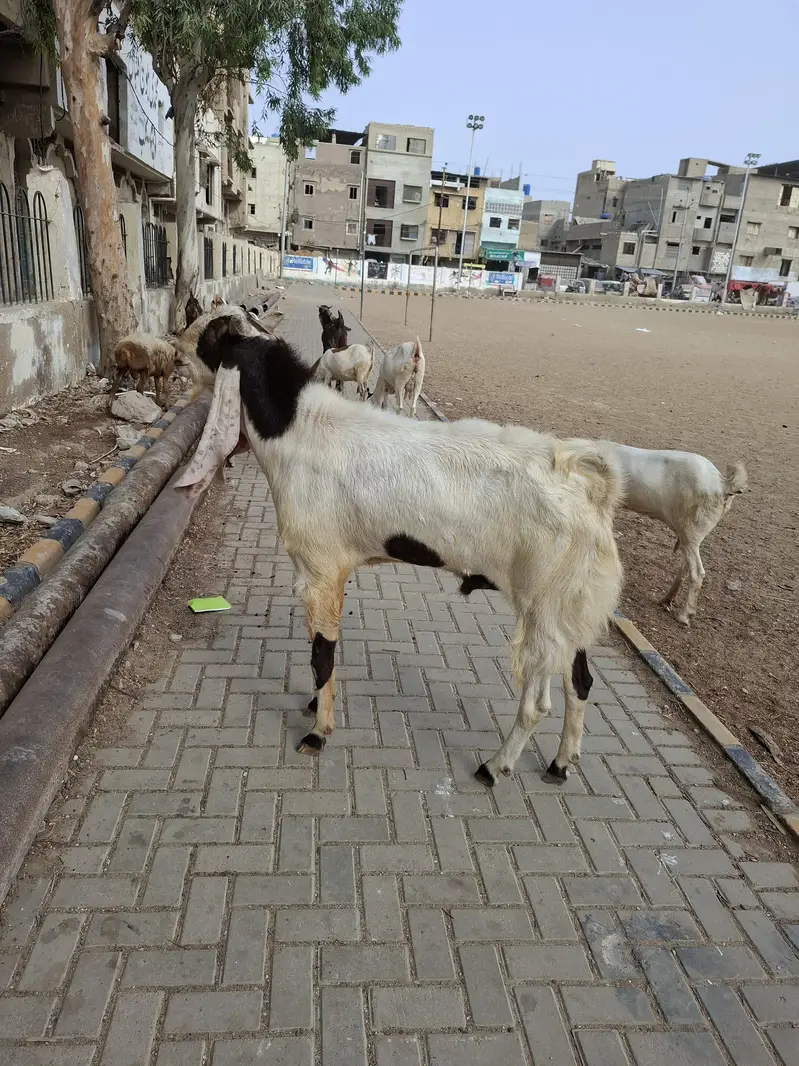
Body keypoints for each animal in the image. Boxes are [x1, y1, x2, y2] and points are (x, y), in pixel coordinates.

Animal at [175, 312, 623, 786]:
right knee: (581, 681)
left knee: (538, 703)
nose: (175, 350)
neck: (297, 428)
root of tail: (590, 484)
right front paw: (316, 704)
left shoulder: (319, 569)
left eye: (210, 337)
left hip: (544, 609)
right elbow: (320, 647)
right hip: (572, 606)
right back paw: (560, 763)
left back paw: (494, 766)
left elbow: (321, 652)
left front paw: (318, 732)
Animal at [601, 442, 747, 625]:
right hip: (689, 532)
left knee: (697, 573)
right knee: (685, 567)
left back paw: (685, 615)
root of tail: (723, 483)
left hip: (692, 529)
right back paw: (667, 600)